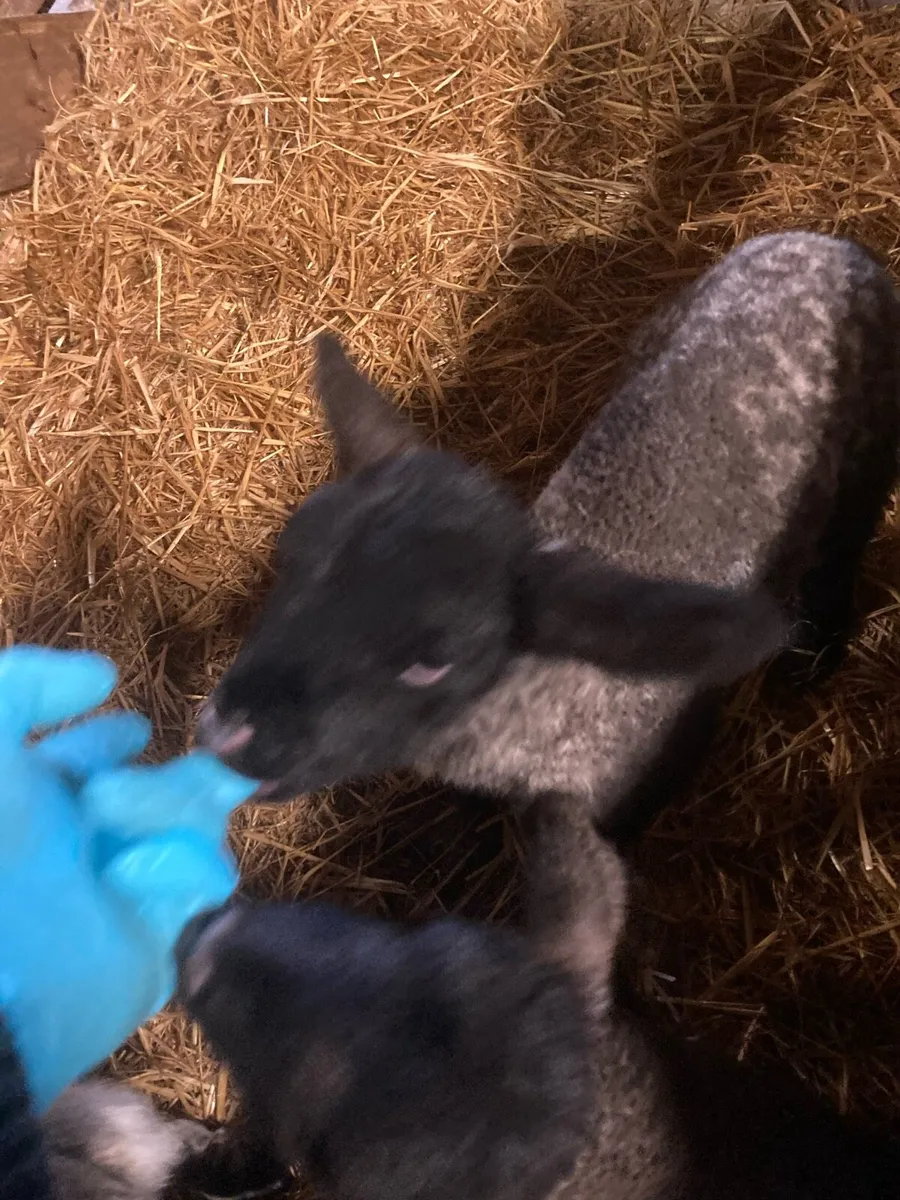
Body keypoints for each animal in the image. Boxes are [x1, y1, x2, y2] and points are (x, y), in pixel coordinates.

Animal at [197, 231, 900, 845]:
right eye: (290, 560)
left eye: (432, 662)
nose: (224, 732)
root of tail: (824, 243)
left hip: (865, 461)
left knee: (839, 554)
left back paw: (814, 656)